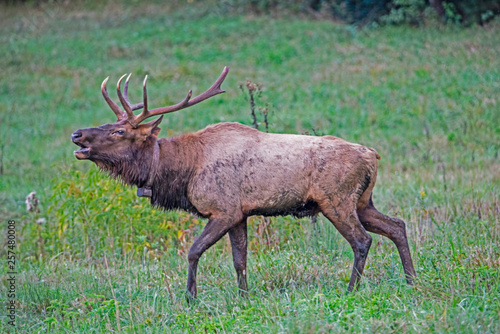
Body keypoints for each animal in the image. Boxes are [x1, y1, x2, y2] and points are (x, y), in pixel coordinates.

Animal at [70, 66, 414, 298]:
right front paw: (243, 296)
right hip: (363, 201)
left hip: (337, 200)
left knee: (362, 240)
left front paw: (190, 297)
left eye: (119, 131)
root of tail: (373, 155)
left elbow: (193, 251)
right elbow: (240, 260)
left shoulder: (223, 210)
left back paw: (351, 289)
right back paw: (411, 279)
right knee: (397, 225)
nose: (77, 134)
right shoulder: (240, 214)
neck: (183, 171)